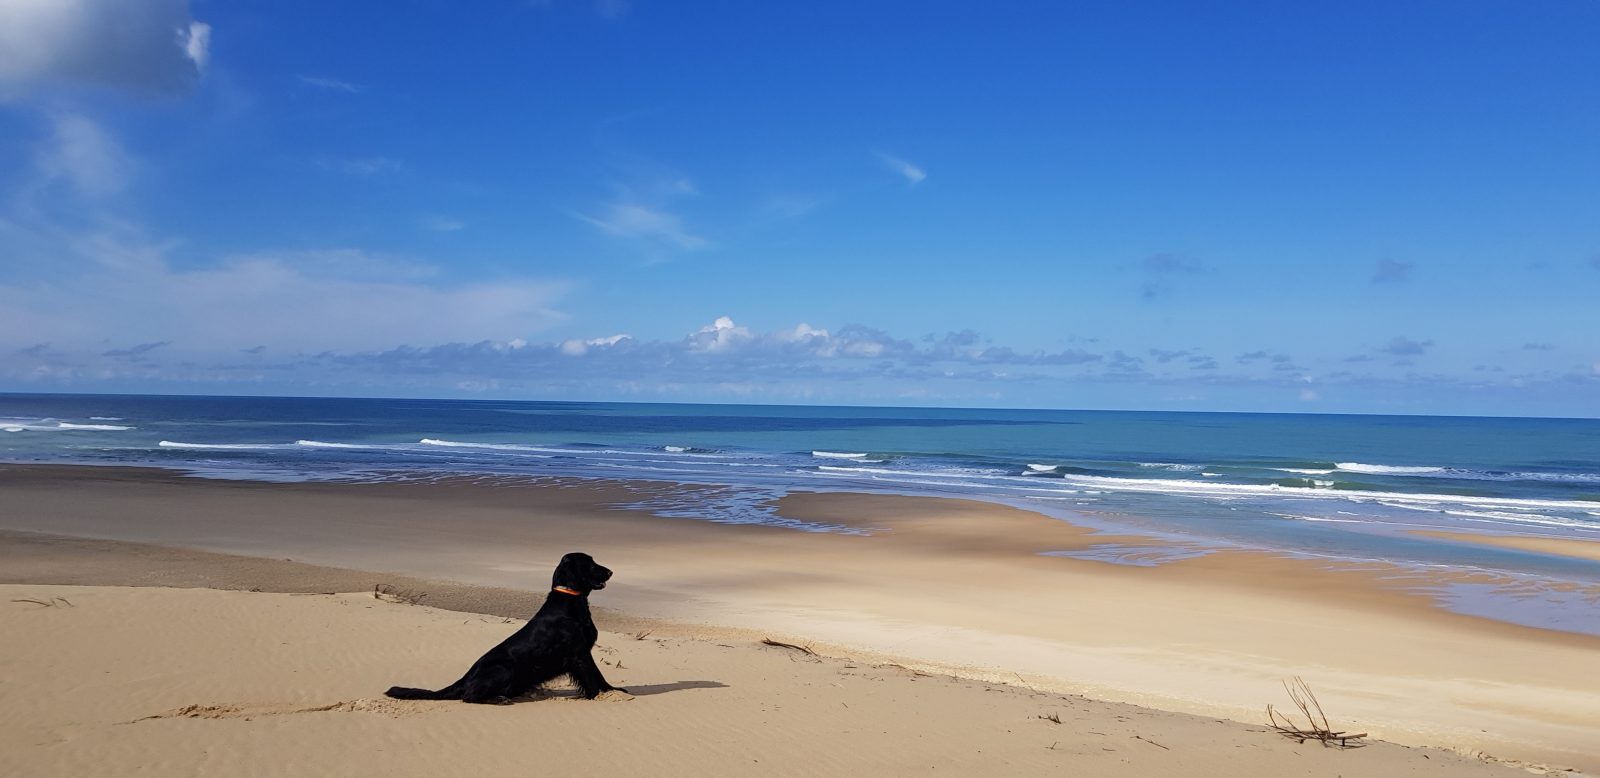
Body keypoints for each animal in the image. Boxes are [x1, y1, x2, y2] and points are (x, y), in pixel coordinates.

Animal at [384, 550, 627, 701]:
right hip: (504, 668)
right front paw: (599, 697)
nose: (610, 572)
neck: (570, 603)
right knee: (469, 697)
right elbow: (591, 678)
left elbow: (599, 676)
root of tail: (465, 679)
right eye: (590, 563)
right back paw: (500, 699)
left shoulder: (584, 652)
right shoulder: (578, 653)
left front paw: (614, 691)